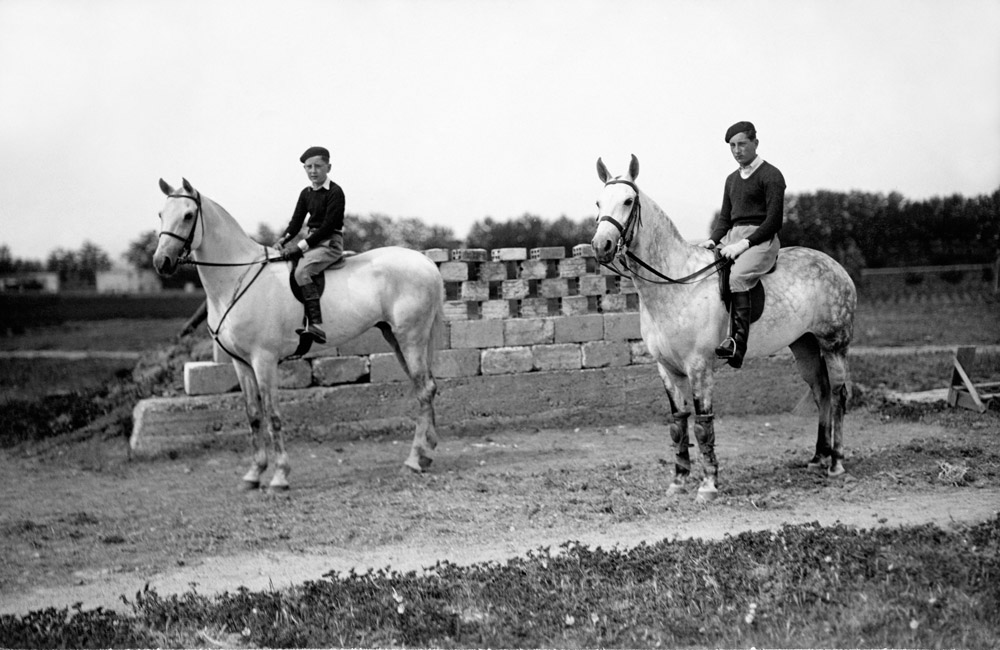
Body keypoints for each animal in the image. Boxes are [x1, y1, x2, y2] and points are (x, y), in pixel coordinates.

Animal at [154, 177, 444, 486]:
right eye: (161, 214)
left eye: (188, 215)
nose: (161, 262)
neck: (237, 278)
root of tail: (425, 262)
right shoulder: (241, 363)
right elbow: (253, 415)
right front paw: (254, 473)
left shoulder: (264, 361)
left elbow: (273, 415)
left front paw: (280, 475)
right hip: (396, 338)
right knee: (425, 387)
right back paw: (426, 454)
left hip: (410, 338)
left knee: (424, 390)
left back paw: (414, 460)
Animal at [588, 154, 856, 498]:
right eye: (598, 202)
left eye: (628, 201)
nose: (602, 246)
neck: (675, 283)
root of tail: (836, 265)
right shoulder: (667, 369)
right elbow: (678, 422)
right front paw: (678, 480)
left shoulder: (700, 366)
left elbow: (703, 423)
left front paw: (709, 484)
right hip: (804, 346)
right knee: (820, 391)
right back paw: (818, 458)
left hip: (834, 345)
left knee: (837, 395)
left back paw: (836, 463)